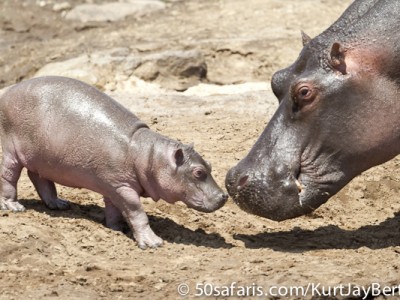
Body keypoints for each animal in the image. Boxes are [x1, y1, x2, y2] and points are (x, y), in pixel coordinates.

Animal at [0, 77, 228, 248]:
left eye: (209, 164)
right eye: (198, 172)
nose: (224, 196)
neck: (148, 155)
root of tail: (8, 91)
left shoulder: (111, 185)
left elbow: (114, 208)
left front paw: (117, 228)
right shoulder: (122, 187)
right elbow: (137, 212)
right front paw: (153, 243)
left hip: (43, 158)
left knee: (39, 178)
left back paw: (59, 205)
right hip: (11, 152)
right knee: (9, 176)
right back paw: (14, 207)